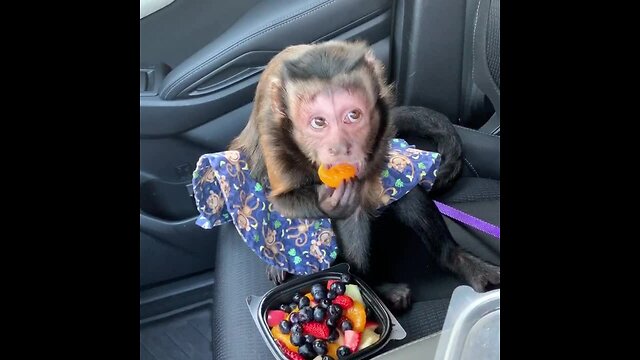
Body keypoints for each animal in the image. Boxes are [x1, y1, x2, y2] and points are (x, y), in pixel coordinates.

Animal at [226, 38, 500, 310]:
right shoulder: (273, 128)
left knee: (405, 192)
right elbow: (278, 193)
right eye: (318, 122)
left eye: (353, 115)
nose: (342, 147)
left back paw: (453, 259)